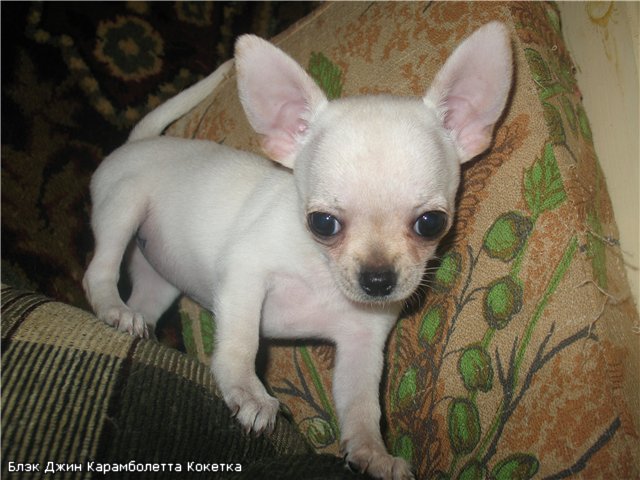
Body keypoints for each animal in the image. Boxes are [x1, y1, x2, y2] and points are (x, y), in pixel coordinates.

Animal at [83, 22, 512, 480]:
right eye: (322, 223)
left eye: (431, 223)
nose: (378, 280)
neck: (321, 273)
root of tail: (138, 142)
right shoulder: (244, 277)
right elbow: (240, 343)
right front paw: (248, 392)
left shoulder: (362, 344)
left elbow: (362, 406)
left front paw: (372, 453)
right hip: (123, 207)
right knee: (99, 271)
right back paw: (113, 308)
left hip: (160, 279)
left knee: (145, 299)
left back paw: (137, 323)